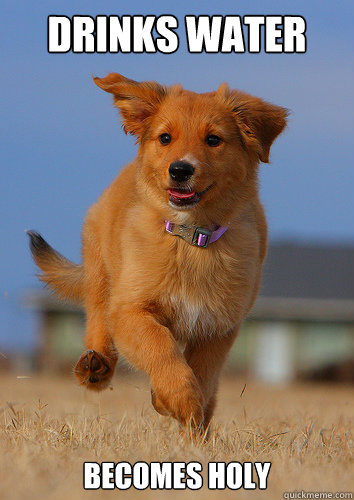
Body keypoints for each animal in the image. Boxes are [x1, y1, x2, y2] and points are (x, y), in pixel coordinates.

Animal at [27, 72, 288, 432]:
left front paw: (184, 413)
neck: (191, 239)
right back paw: (95, 366)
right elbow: (160, 347)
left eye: (213, 140)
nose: (180, 170)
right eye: (165, 138)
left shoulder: (219, 327)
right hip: (101, 271)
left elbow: (203, 376)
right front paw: (178, 398)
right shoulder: (131, 310)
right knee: (97, 317)